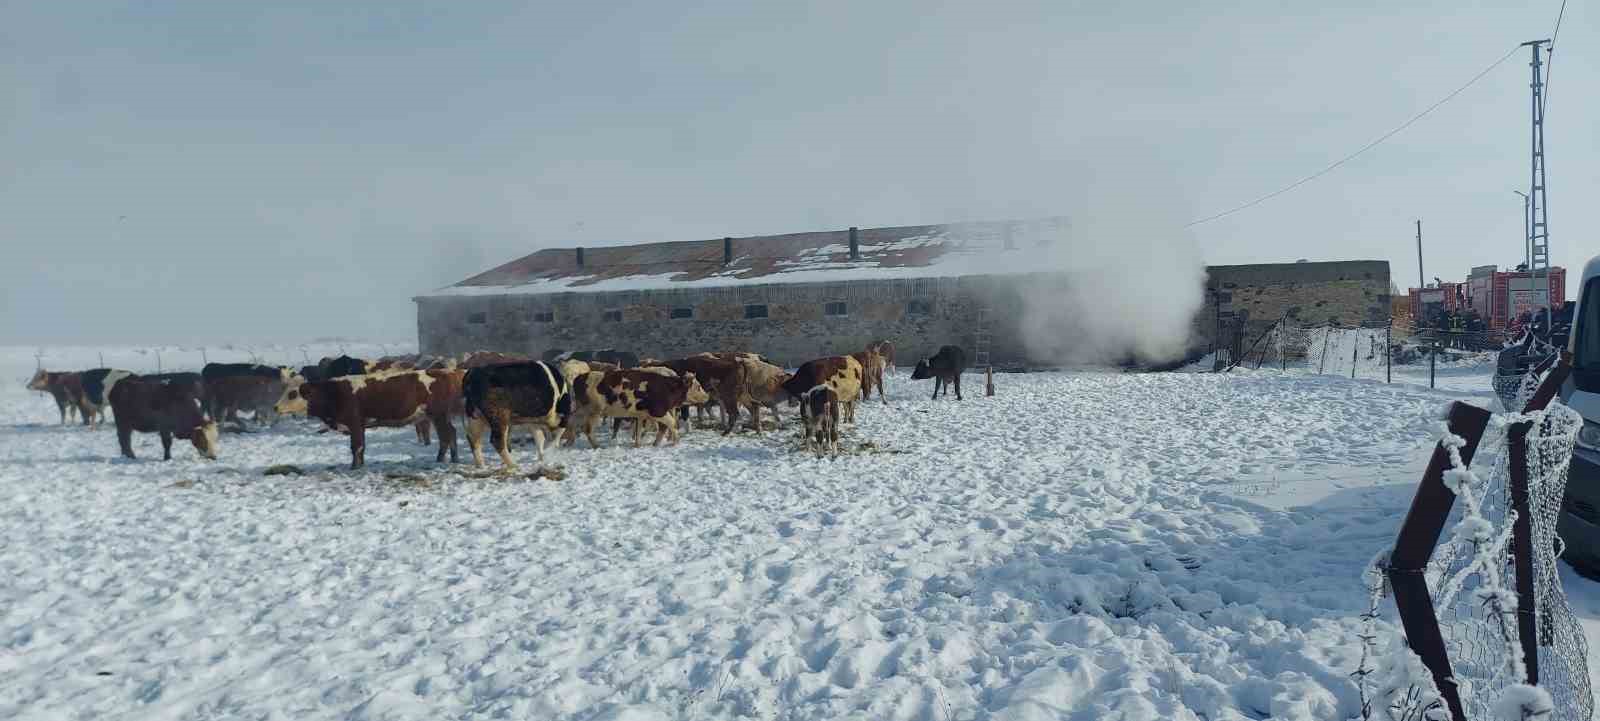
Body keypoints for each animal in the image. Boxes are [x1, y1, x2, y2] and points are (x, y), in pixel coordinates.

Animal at [273, 369, 464, 470]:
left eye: (292, 393)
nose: (275, 407)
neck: (334, 392)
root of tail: (445, 372)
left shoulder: (355, 423)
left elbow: (356, 447)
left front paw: (354, 467)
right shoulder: (360, 425)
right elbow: (361, 447)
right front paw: (361, 465)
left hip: (439, 415)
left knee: (447, 435)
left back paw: (444, 459)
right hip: (438, 416)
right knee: (450, 434)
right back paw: (449, 458)